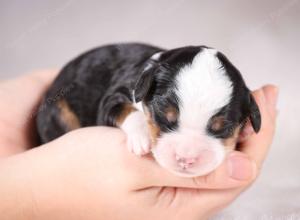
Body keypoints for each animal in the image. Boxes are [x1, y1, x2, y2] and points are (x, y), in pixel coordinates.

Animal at [35, 43, 260, 177]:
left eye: (223, 129)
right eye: (164, 117)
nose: (186, 159)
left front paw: (247, 130)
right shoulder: (113, 97)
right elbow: (127, 111)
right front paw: (141, 137)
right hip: (59, 112)